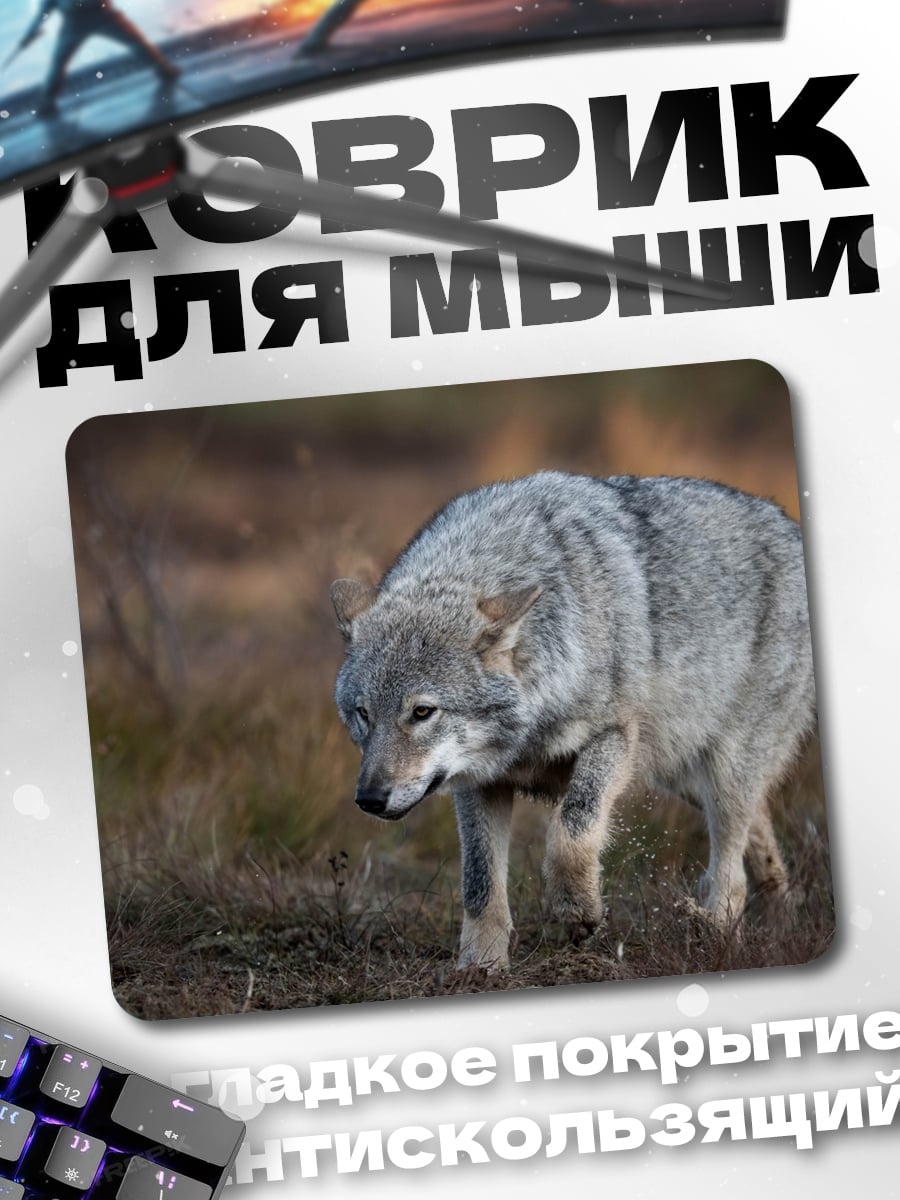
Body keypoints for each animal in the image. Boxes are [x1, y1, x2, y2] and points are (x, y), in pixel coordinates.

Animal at [329, 471, 816, 970]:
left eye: (422, 712)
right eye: (363, 714)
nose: (368, 799)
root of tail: (789, 526)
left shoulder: (613, 737)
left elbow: (572, 829)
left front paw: (578, 909)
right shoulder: (478, 781)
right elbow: (480, 882)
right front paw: (481, 966)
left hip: (722, 774)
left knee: (731, 866)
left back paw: (717, 932)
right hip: (686, 778)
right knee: (759, 832)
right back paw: (782, 923)